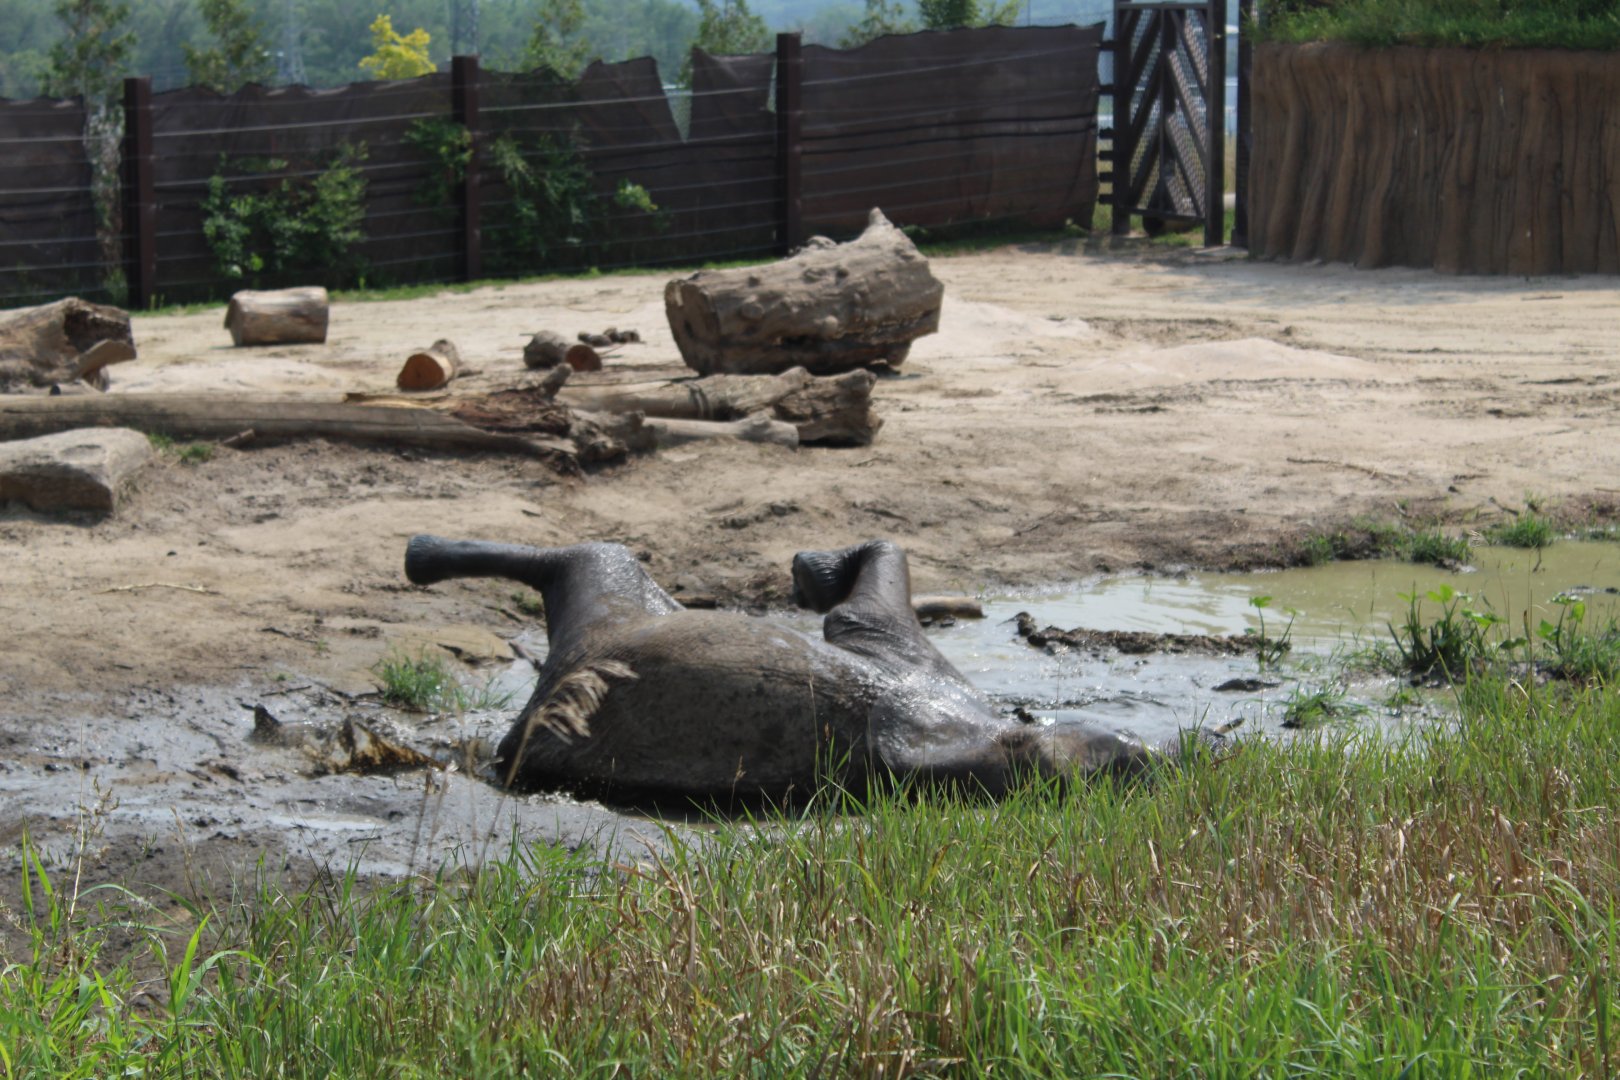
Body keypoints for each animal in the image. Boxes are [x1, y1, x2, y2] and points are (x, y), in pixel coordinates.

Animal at [404, 535, 1181, 800]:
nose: (1150, 759)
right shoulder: (912, 669)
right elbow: (865, 608)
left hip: (604, 623)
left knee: (588, 558)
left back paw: (421, 557)